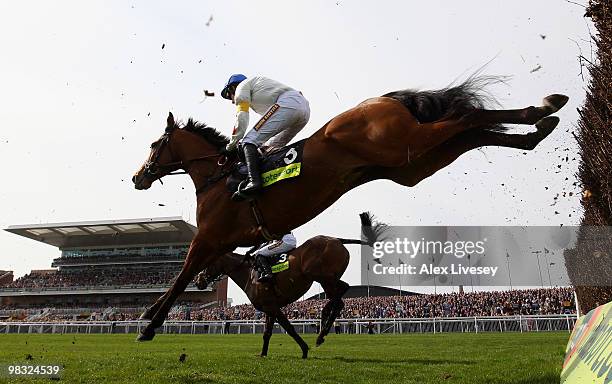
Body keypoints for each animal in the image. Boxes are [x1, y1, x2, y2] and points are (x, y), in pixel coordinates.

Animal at [134, 76, 568, 340]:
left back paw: (542, 109)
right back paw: (538, 124)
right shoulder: (224, 243)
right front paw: (152, 314)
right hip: (413, 163)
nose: (138, 177)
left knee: (466, 116)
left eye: (155, 145)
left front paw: (148, 322)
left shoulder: (208, 237)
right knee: (471, 131)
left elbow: (180, 276)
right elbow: (193, 275)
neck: (216, 178)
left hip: (405, 144)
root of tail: (382, 99)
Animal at [194, 212, 384, 358]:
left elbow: (289, 328)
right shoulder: (269, 308)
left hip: (320, 276)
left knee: (342, 294)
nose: (198, 281)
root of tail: (336, 240)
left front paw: (304, 350)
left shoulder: (272, 306)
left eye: (207, 263)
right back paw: (322, 326)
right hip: (326, 280)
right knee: (339, 297)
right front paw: (263, 354)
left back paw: (321, 329)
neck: (248, 274)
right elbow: (267, 333)